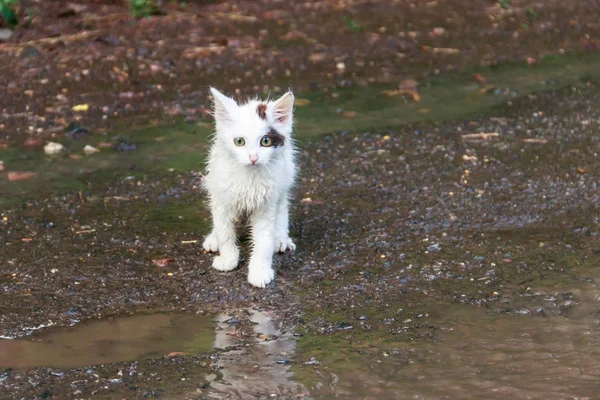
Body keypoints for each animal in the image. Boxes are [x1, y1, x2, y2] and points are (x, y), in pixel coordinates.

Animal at [202, 87, 298, 288]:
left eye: (266, 141)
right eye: (239, 141)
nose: (253, 158)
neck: (249, 177)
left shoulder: (267, 203)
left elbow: (263, 241)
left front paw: (260, 271)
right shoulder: (221, 196)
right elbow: (224, 231)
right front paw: (228, 259)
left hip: (284, 180)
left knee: (282, 210)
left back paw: (281, 238)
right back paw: (213, 238)